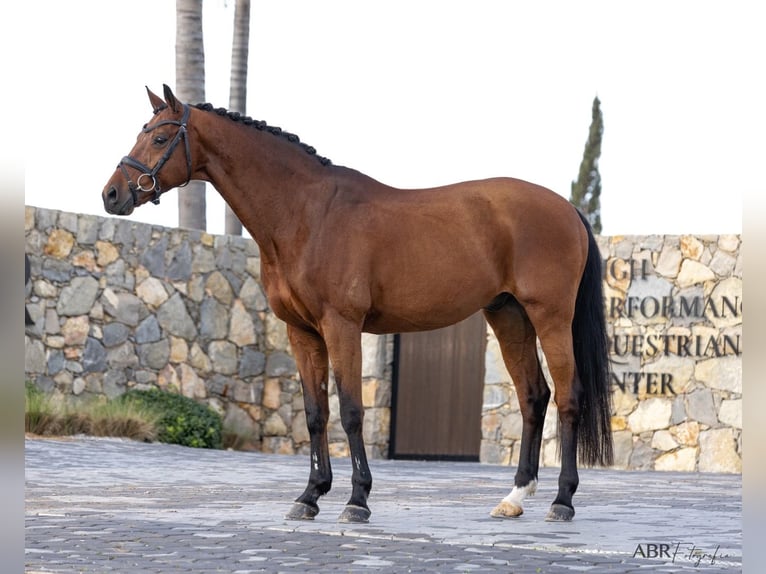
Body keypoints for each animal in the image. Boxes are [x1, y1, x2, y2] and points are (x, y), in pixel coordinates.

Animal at [102, 85, 613, 523]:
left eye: (161, 137)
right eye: (141, 133)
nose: (112, 194)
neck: (307, 215)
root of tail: (567, 209)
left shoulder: (341, 326)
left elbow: (350, 411)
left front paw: (357, 500)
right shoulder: (302, 332)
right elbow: (315, 415)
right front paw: (309, 496)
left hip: (550, 317)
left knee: (567, 397)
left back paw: (562, 500)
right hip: (508, 315)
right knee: (533, 397)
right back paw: (515, 497)